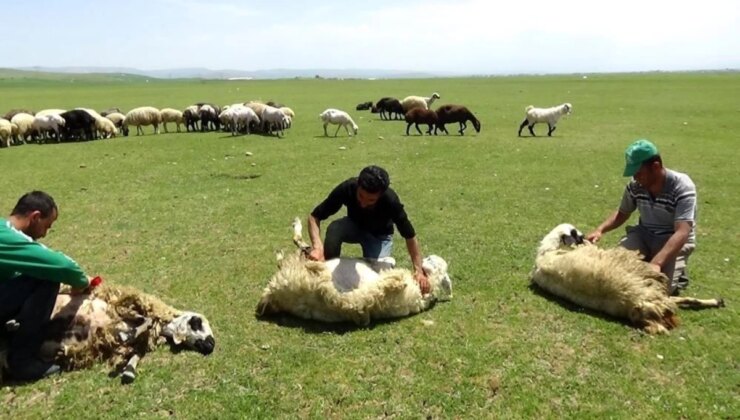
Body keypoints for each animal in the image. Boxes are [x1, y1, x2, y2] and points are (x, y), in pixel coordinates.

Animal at [0, 282, 215, 384]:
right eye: (197, 322)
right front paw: (128, 334)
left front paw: (129, 370)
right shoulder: (123, 306)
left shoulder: (132, 343)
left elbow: (136, 352)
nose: (211, 345)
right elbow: (143, 321)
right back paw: (12, 323)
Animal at [254, 218, 450, 326]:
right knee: (302, 249)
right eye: (430, 258)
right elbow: (388, 262)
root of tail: (274, 295)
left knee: (299, 249)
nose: (424, 259)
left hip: (300, 272)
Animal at [528, 223, 724, 334]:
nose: (583, 238)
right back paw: (716, 301)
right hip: (653, 289)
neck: (546, 252)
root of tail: (637, 304)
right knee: (679, 299)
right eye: (576, 235)